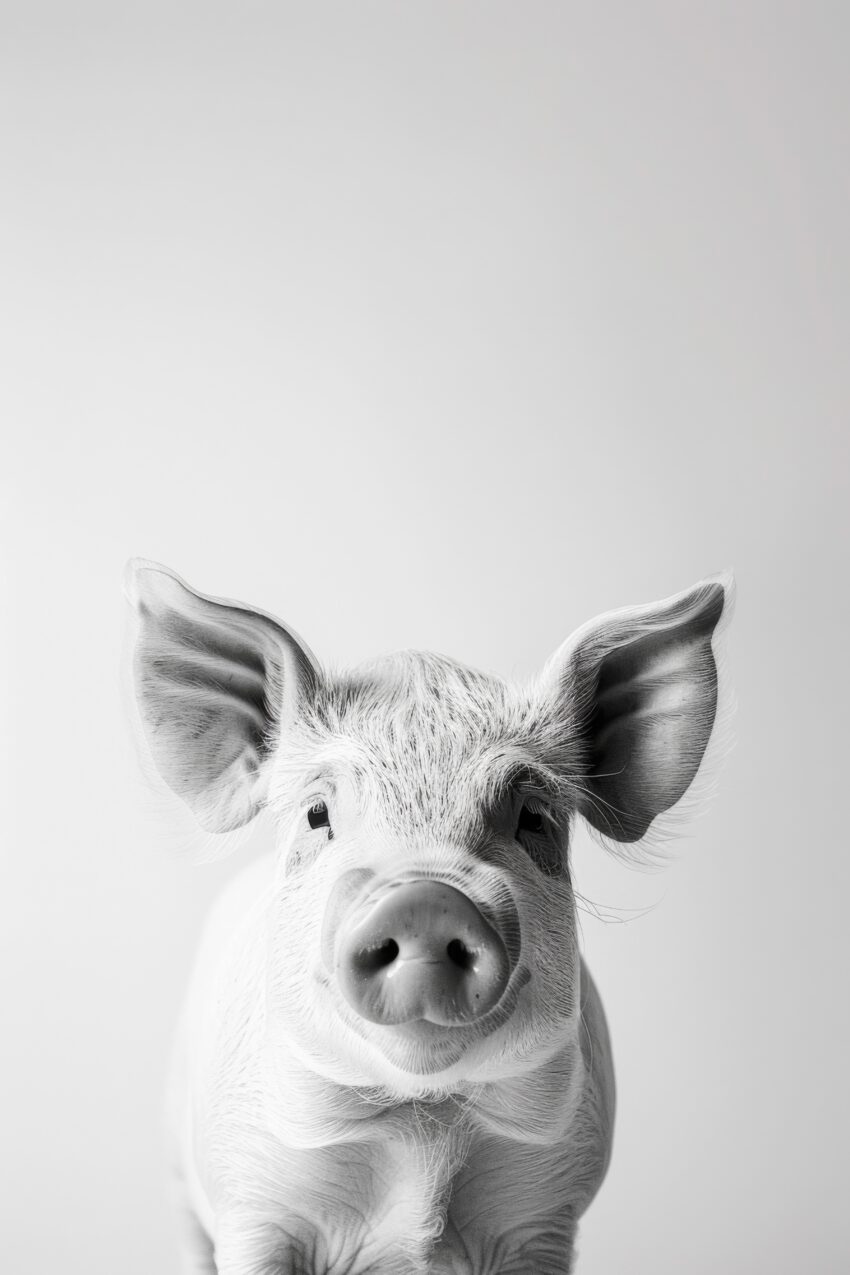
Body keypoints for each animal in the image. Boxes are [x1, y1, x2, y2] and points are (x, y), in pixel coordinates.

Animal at [125, 560, 732, 1275]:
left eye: (533, 819)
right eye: (317, 815)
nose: (424, 898)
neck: (423, 1124)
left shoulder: (550, 1214)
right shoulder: (251, 1205)